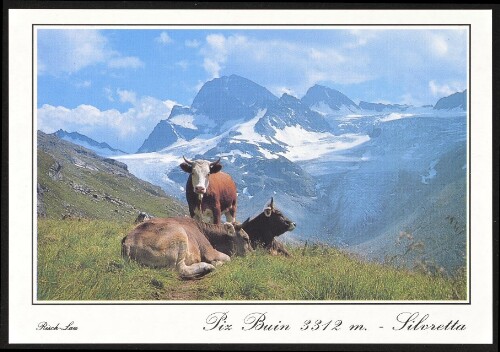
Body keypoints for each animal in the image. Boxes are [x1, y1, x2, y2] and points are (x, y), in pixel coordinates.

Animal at [122, 216, 250, 280]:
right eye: (246, 238)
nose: (251, 254)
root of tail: (127, 241)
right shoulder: (209, 251)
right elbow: (228, 258)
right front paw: (216, 263)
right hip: (180, 235)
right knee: (181, 269)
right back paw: (207, 267)